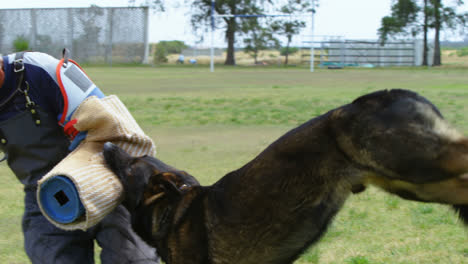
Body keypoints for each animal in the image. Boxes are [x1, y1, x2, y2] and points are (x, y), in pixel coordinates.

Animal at [104, 89, 468, 264]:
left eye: (131, 165)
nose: (107, 144)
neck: (170, 209)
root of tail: (391, 93)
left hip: (416, 162)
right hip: (417, 183)